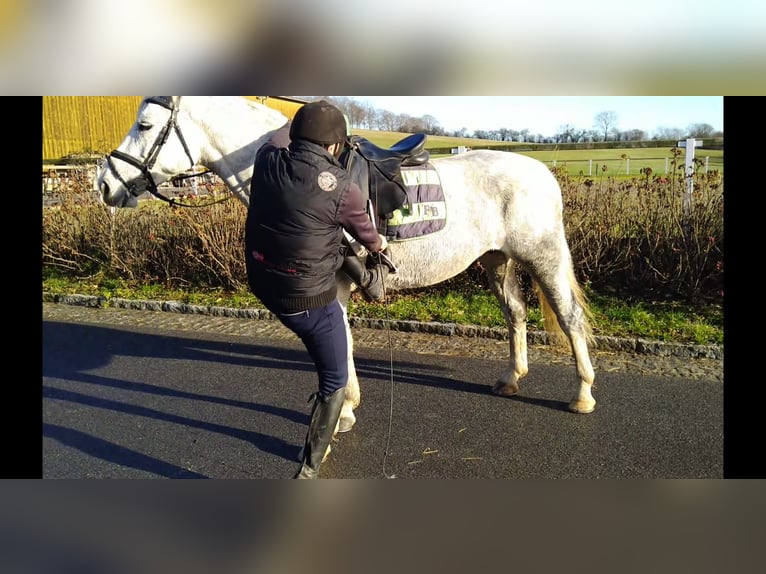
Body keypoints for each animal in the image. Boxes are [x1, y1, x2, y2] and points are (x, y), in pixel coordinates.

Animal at [95, 96, 597, 440]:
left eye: (145, 124)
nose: (104, 184)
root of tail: (541, 172)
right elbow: (344, 342)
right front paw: (348, 406)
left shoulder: (333, 286)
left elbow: (338, 344)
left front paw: (342, 413)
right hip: (497, 261)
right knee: (516, 315)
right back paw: (511, 379)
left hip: (543, 257)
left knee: (570, 319)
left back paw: (583, 395)